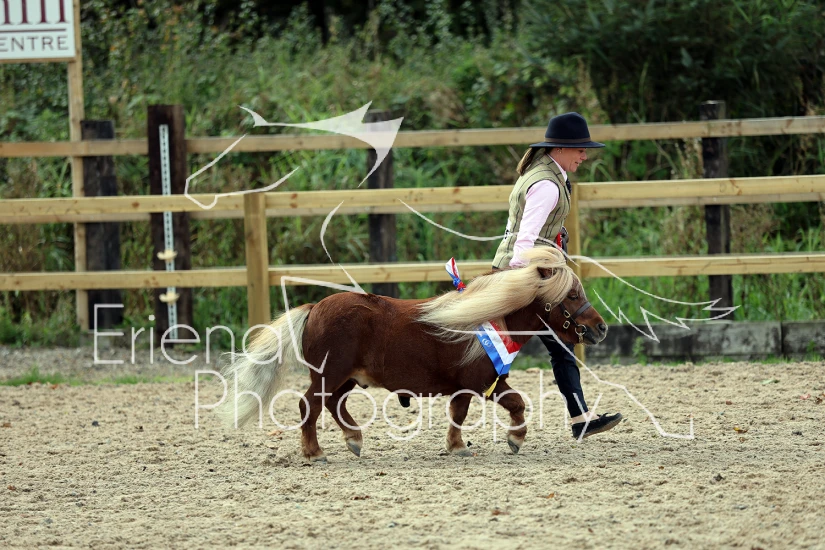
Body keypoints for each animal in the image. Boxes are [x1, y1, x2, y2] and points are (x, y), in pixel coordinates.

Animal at [219, 247, 608, 462]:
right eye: (573, 295)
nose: (601, 327)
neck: (485, 316)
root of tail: (315, 308)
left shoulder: (487, 383)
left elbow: (509, 405)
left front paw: (506, 440)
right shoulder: (473, 383)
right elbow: (471, 412)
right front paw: (468, 445)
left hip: (346, 379)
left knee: (333, 405)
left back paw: (354, 440)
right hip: (329, 375)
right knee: (309, 406)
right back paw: (315, 452)